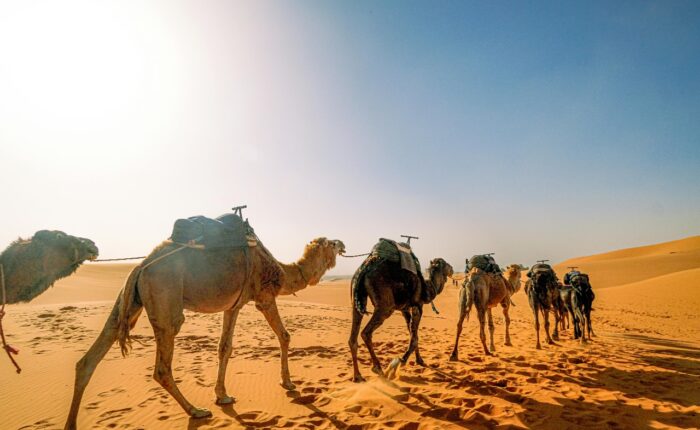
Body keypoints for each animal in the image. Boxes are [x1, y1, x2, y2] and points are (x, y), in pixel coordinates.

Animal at [64, 234, 345, 429]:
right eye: (331, 243)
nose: (342, 244)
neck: (281, 270)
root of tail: (141, 266)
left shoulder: (234, 305)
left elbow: (224, 347)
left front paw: (222, 395)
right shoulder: (264, 297)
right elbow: (285, 335)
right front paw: (288, 382)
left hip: (128, 301)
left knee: (89, 359)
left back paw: (71, 422)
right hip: (165, 301)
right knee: (162, 367)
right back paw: (196, 411)